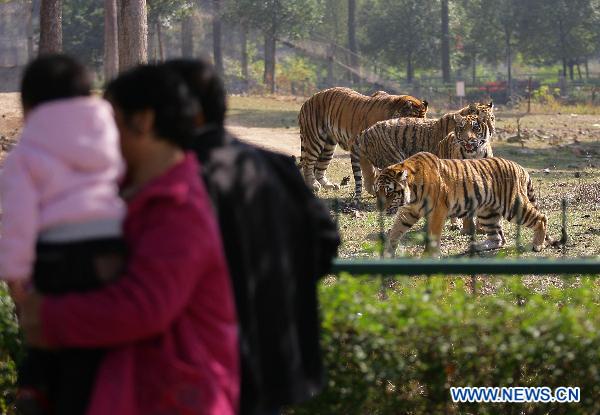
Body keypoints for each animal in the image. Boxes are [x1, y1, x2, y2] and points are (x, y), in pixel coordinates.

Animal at [298, 87, 428, 193]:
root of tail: (307, 101)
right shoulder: (360, 145)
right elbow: (369, 170)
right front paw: (371, 188)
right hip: (314, 140)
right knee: (307, 164)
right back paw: (313, 185)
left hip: (328, 147)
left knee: (320, 168)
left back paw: (329, 185)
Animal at [372, 153, 556, 256]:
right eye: (377, 191)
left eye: (389, 192)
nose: (379, 208)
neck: (412, 194)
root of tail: (520, 167)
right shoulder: (409, 212)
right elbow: (395, 231)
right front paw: (388, 253)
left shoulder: (437, 211)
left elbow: (432, 236)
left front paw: (429, 256)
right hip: (488, 212)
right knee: (498, 238)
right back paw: (476, 246)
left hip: (512, 206)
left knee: (541, 217)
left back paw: (537, 245)